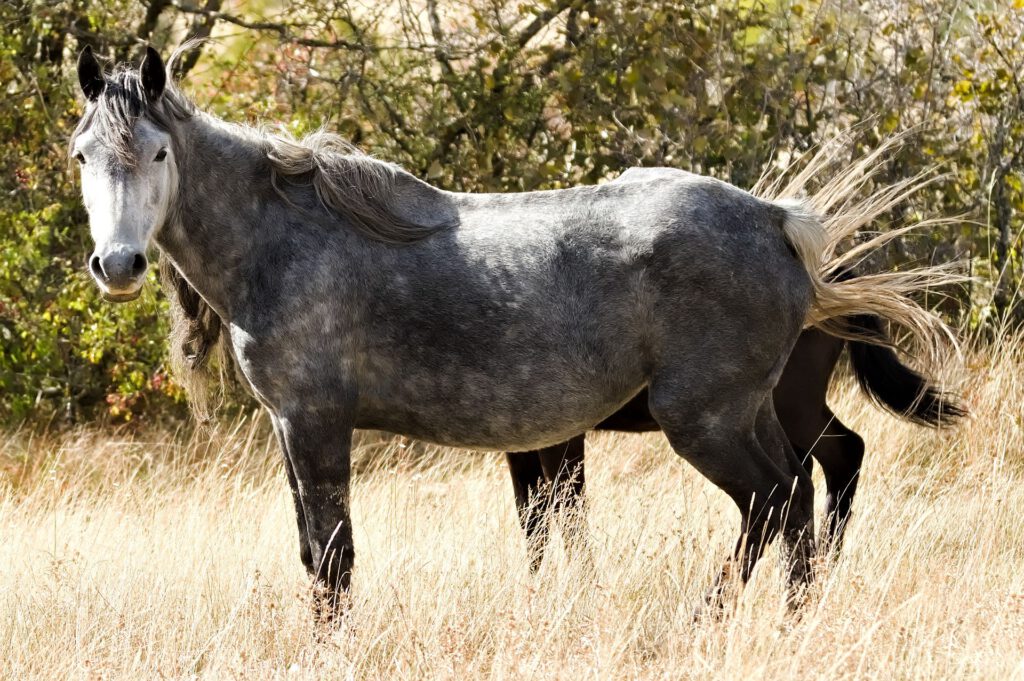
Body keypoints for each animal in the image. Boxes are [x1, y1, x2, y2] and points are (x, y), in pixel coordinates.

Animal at [505, 314, 965, 571]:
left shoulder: (563, 437)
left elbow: (568, 512)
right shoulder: (520, 447)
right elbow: (534, 518)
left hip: (791, 406)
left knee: (839, 456)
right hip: (793, 412)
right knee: (829, 460)